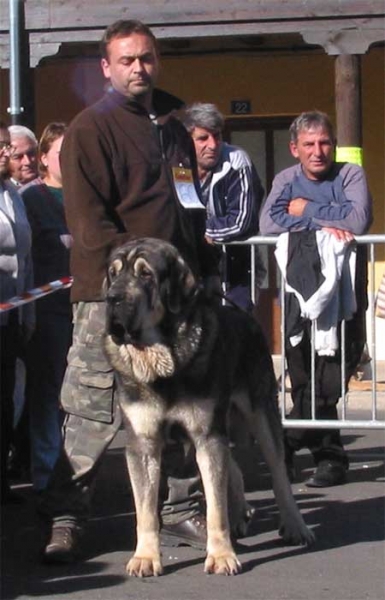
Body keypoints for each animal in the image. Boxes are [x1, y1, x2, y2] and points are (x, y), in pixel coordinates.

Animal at [103, 238, 314, 576]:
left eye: (146, 274)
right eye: (113, 274)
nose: (111, 298)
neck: (163, 357)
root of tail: (244, 314)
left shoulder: (206, 434)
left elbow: (216, 507)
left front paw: (221, 555)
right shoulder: (143, 443)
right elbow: (145, 509)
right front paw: (145, 556)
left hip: (259, 412)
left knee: (278, 472)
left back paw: (295, 525)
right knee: (233, 466)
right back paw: (241, 513)